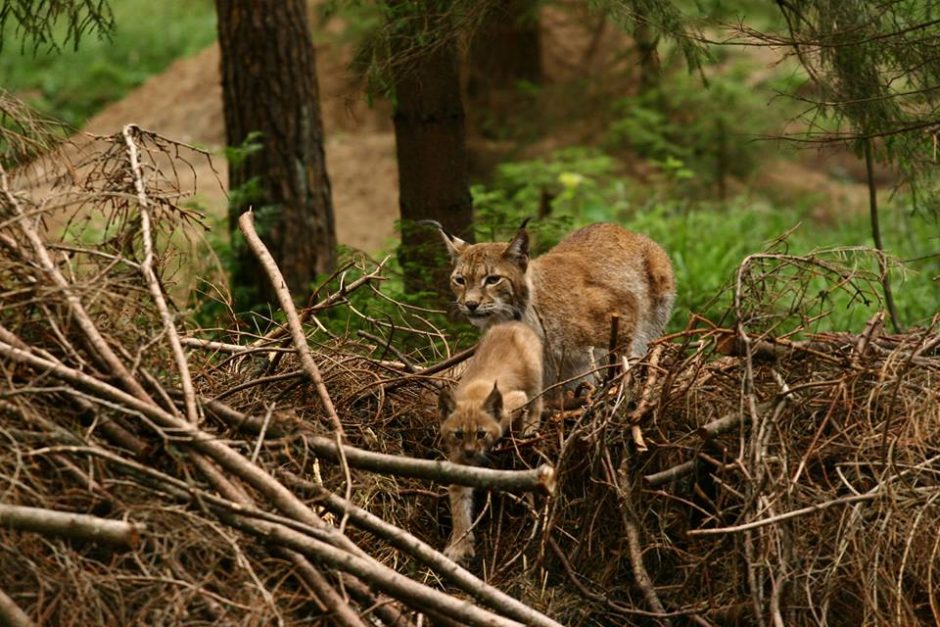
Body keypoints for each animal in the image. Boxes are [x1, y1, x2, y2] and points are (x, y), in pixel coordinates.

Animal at [440, 322, 544, 560]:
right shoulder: (458, 461)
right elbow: (459, 503)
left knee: (538, 400)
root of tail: (512, 324)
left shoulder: (517, 399)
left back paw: (530, 427)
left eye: (481, 434)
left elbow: (521, 411)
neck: (473, 398)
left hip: (534, 373)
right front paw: (459, 544)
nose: (470, 452)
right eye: (458, 434)